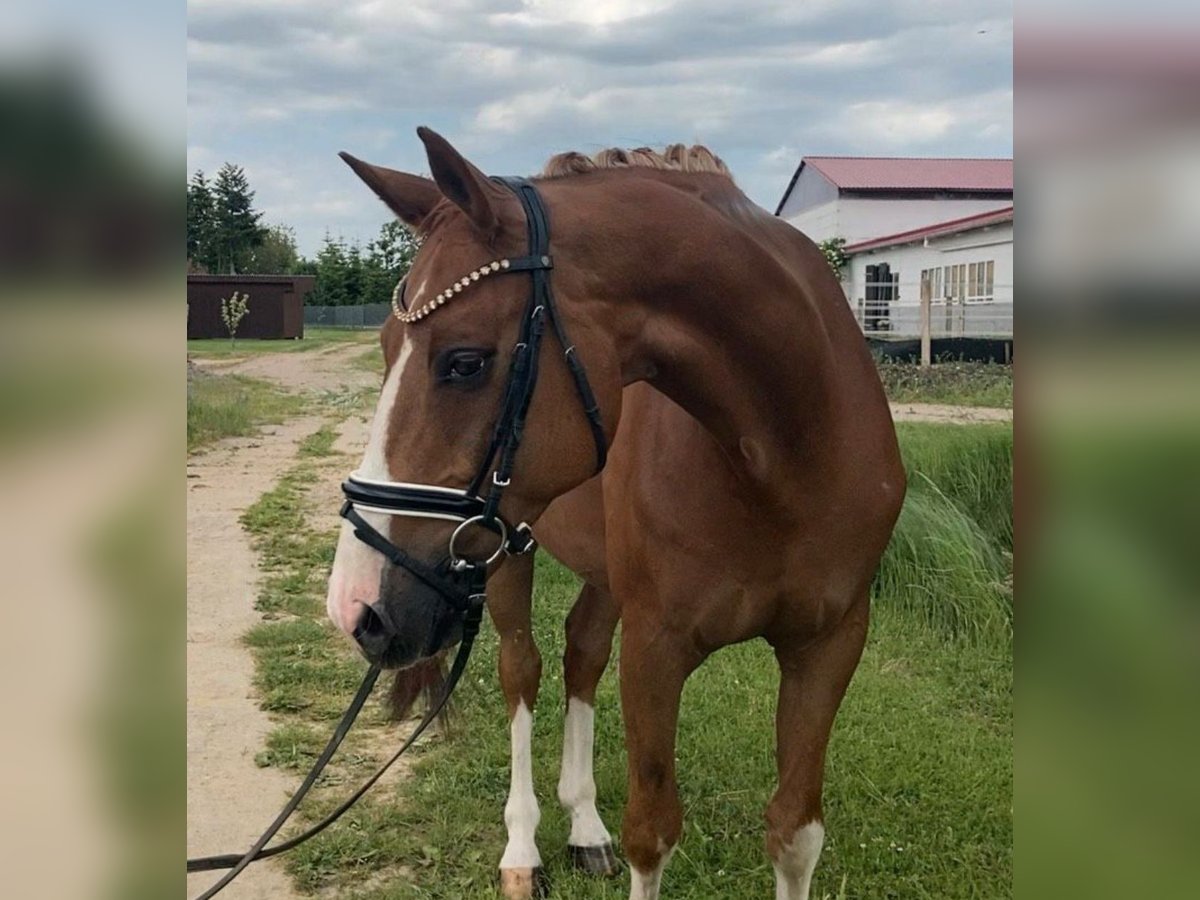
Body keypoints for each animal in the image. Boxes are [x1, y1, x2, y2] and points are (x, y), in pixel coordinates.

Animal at [324, 128, 902, 900]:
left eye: (465, 361)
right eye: (386, 347)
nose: (356, 606)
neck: (787, 456)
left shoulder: (829, 646)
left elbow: (795, 833)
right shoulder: (656, 648)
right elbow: (651, 832)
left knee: (581, 653)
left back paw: (584, 826)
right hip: (504, 557)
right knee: (522, 669)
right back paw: (523, 849)